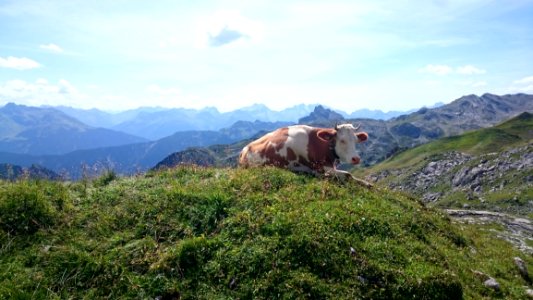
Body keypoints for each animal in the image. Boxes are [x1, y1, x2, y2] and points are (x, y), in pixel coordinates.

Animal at [239, 123, 372, 186]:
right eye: (342, 140)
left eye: (356, 140)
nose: (356, 159)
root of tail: (244, 150)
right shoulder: (321, 169)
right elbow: (348, 174)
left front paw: (367, 183)